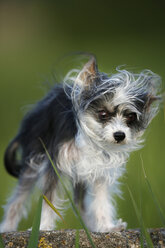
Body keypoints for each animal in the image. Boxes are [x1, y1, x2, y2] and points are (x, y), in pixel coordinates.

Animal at [0, 55, 161, 232]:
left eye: (130, 117)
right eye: (103, 114)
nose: (119, 135)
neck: (91, 140)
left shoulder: (100, 170)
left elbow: (101, 200)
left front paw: (106, 226)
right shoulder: (55, 164)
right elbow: (49, 198)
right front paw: (43, 227)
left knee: (80, 203)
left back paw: (89, 227)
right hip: (33, 160)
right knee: (18, 199)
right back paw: (7, 227)